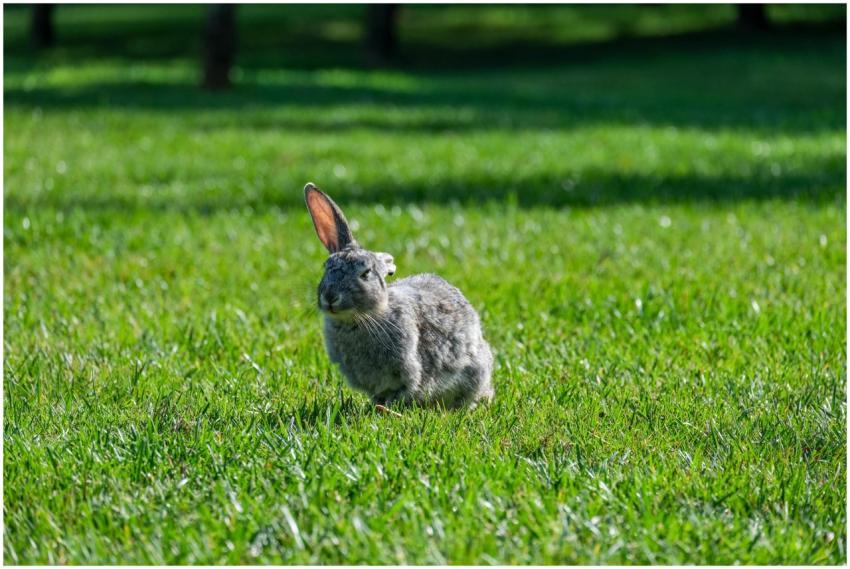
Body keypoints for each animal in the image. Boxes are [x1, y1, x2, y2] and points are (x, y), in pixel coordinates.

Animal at [304, 182, 494, 409]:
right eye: (326, 267)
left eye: (366, 273)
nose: (331, 297)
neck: (365, 317)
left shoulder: (408, 372)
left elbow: (405, 390)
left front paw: (387, 410)